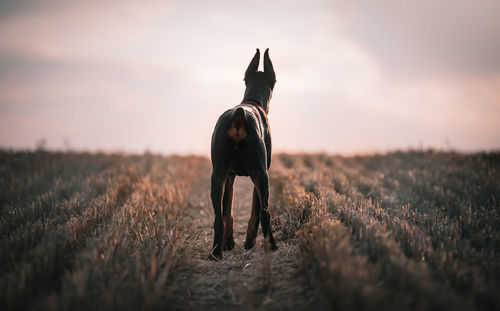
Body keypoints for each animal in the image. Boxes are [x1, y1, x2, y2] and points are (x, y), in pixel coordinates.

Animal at [208, 48, 278, 260]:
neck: (252, 101)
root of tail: (239, 115)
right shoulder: (260, 171)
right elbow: (255, 210)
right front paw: (249, 242)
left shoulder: (229, 176)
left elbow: (228, 211)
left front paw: (229, 243)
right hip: (261, 175)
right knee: (264, 213)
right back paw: (271, 246)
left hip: (218, 175)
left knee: (218, 218)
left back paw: (215, 253)